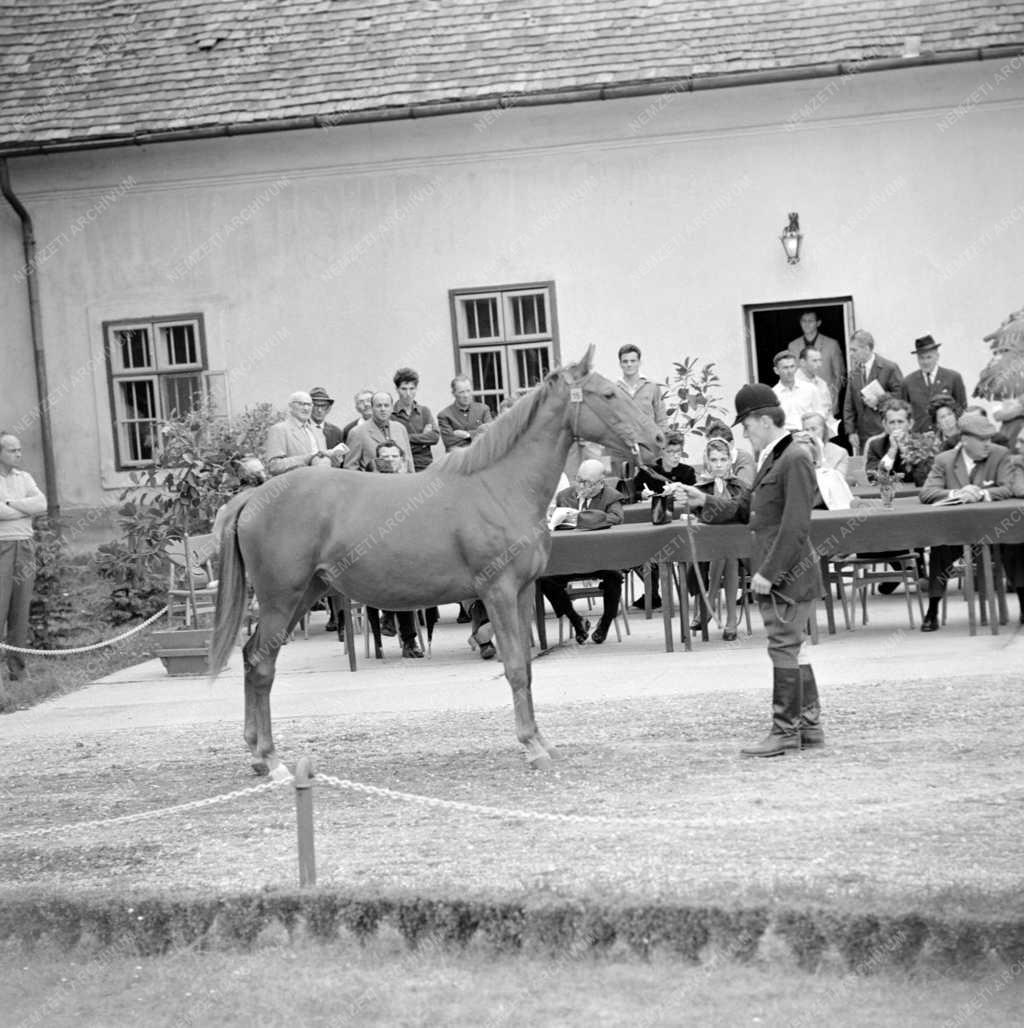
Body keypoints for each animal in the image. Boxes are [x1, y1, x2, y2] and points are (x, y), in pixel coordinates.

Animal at [209, 347, 662, 773]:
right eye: (609, 394)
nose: (659, 439)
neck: (499, 487)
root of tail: (255, 496)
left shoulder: (521, 592)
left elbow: (529, 668)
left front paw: (541, 742)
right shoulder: (497, 592)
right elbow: (515, 665)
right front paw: (532, 748)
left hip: (303, 594)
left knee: (253, 657)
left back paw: (257, 755)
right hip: (281, 599)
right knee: (261, 663)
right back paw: (271, 760)